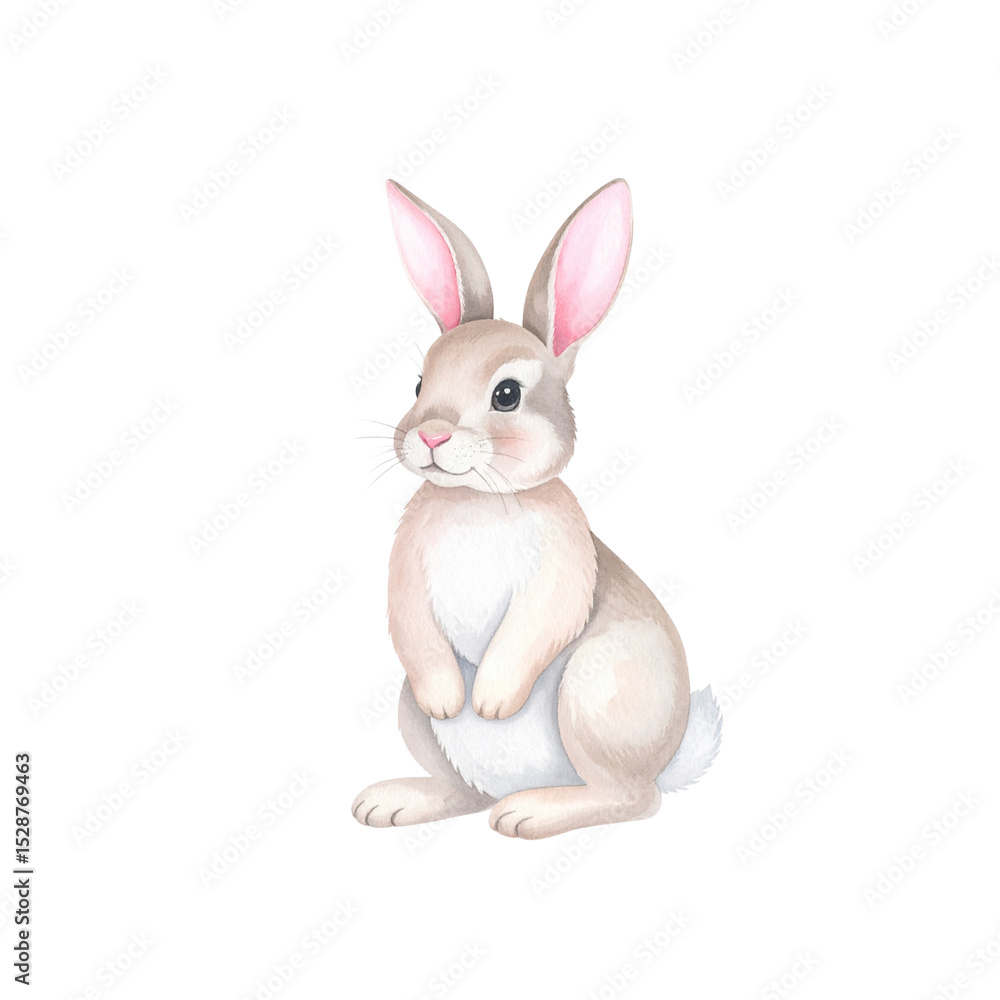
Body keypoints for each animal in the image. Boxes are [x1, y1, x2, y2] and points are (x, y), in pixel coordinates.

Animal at [351, 178, 721, 839]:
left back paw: (529, 813)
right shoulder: (406, 576)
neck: (480, 499)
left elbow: (537, 623)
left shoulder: (562, 567)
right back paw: (394, 802)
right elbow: (412, 626)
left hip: (594, 690)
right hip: (410, 710)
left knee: (632, 799)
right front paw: (451, 699)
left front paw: (491, 702)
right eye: (418, 384)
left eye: (507, 395)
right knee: (463, 792)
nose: (431, 436)